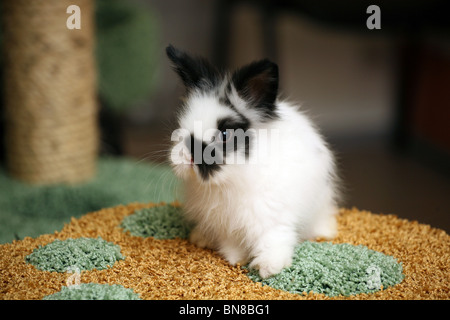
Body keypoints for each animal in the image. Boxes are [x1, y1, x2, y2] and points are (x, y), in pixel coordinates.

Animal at [167, 44, 340, 278]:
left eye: (224, 135)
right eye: (181, 127)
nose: (188, 157)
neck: (230, 180)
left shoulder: (273, 217)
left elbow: (274, 240)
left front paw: (268, 268)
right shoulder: (225, 222)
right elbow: (231, 242)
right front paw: (235, 258)